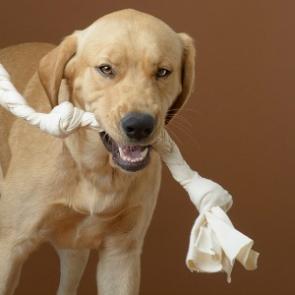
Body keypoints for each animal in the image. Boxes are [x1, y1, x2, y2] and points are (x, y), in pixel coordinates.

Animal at [0, 9, 197, 295]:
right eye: (106, 69)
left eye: (163, 72)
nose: (140, 126)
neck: (95, 171)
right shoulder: (9, 248)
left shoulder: (121, 255)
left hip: (75, 251)